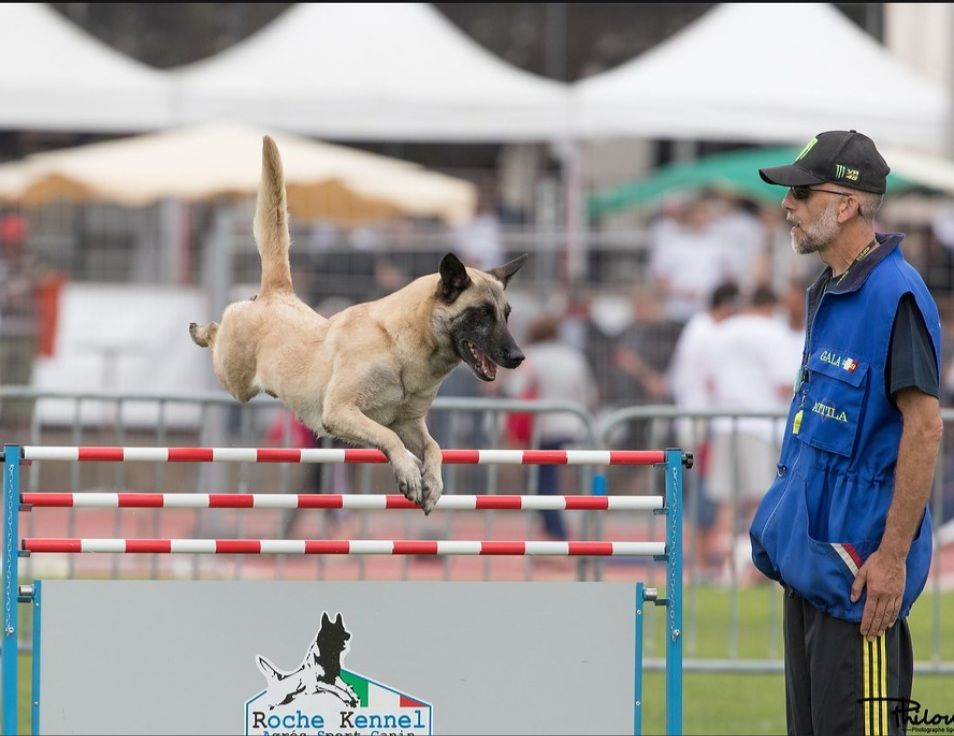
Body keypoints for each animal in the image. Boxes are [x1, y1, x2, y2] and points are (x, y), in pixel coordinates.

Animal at [189, 139, 524, 516]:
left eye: (506, 314)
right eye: (481, 313)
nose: (518, 357)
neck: (401, 345)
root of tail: (279, 293)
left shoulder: (409, 424)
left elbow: (434, 448)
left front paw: (432, 483)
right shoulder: (341, 411)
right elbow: (391, 440)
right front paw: (409, 473)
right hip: (236, 379)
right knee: (221, 327)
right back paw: (202, 330)